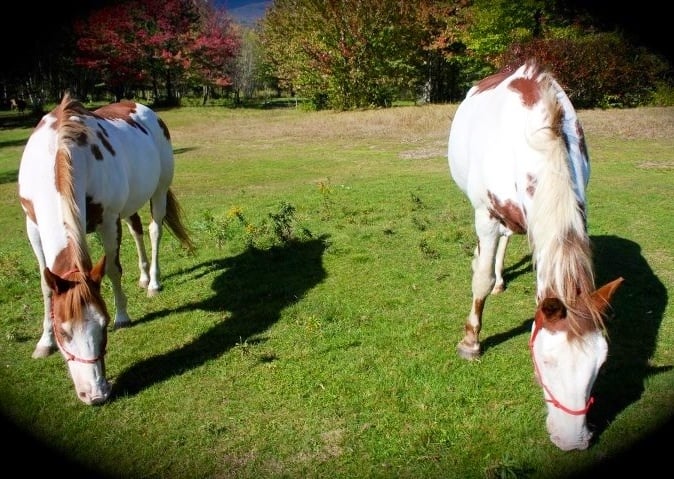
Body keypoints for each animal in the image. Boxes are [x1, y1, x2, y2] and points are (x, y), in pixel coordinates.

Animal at [18, 94, 194, 405]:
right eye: (64, 332)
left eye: (103, 324)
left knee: (154, 230)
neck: (58, 155)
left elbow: (112, 268)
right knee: (136, 229)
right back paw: (143, 277)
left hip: (158, 191)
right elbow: (46, 284)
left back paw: (154, 282)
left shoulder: (107, 220)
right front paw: (44, 343)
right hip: (131, 203)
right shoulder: (33, 226)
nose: (96, 394)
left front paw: (123, 316)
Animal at [447, 60, 624, 450]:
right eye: (546, 360)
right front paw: (471, 342)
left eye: (601, 363)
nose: (572, 440)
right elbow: (480, 279)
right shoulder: (486, 215)